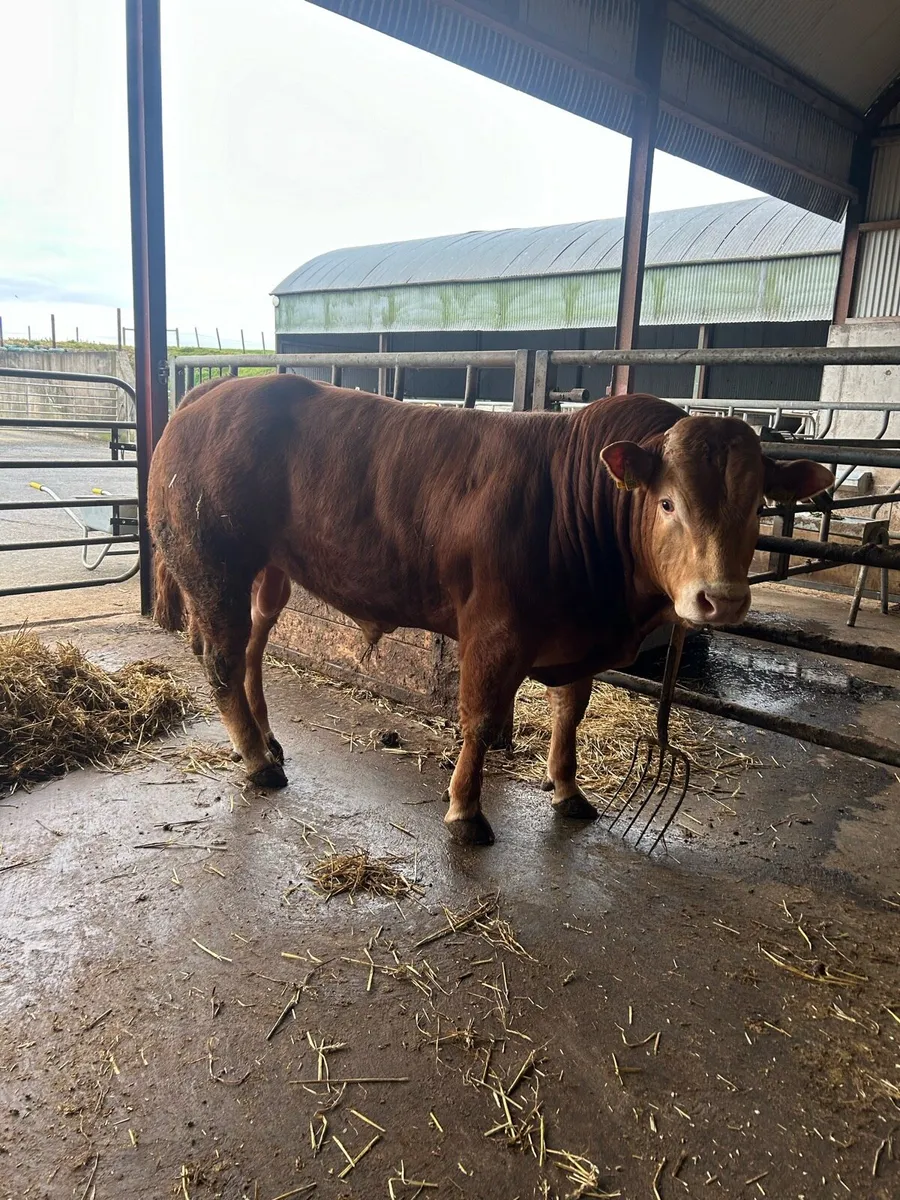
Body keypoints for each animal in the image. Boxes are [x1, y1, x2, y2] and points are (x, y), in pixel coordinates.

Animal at [147, 375, 833, 845]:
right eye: (667, 502)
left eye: (759, 506)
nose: (721, 598)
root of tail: (209, 392)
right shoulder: (493, 629)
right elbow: (478, 720)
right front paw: (466, 811)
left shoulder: (575, 637)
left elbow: (570, 713)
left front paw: (568, 790)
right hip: (214, 566)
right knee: (220, 658)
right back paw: (258, 761)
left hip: (269, 572)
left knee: (252, 649)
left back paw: (268, 740)